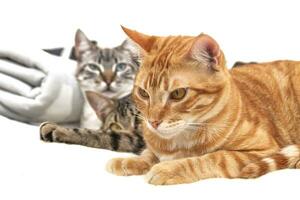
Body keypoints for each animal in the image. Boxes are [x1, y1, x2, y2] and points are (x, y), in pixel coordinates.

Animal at [106, 26, 300, 186]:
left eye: (178, 94)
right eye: (143, 93)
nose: (152, 122)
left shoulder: (261, 150)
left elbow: (214, 157)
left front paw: (170, 168)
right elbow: (149, 153)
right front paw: (132, 161)